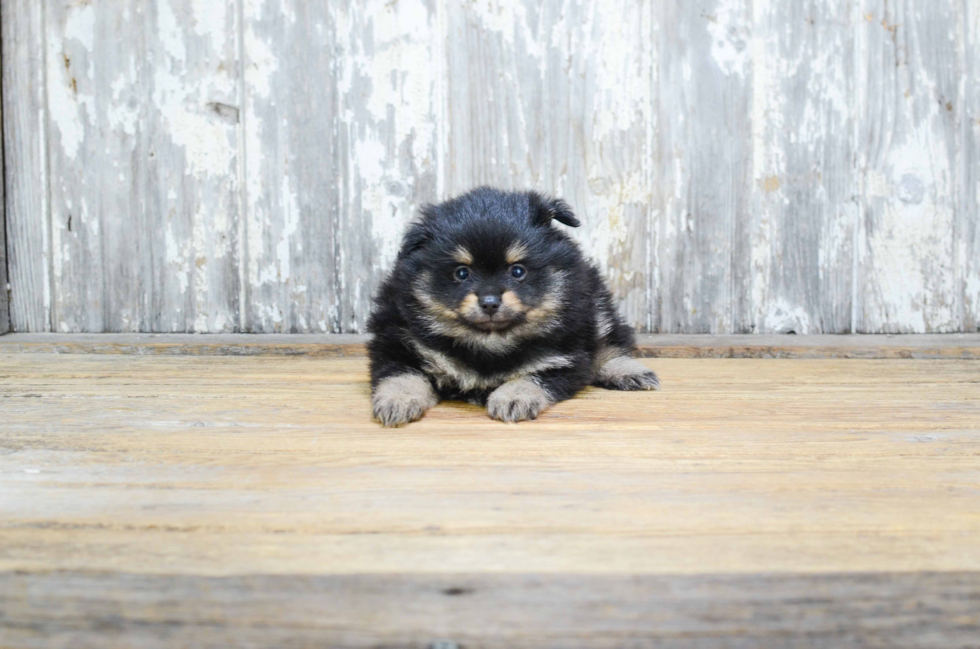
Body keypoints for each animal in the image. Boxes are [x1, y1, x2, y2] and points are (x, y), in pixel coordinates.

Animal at [366, 186, 660, 426]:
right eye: (462, 273)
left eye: (517, 271)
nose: (489, 302)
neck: (489, 342)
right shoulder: (397, 343)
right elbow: (401, 375)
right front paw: (398, 401)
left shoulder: (564, 358)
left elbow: (532, 375)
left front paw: (513, 397)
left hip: (596, 306)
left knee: (608, 342)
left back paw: (628, 371)